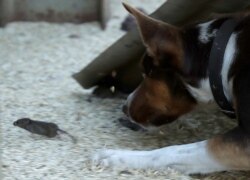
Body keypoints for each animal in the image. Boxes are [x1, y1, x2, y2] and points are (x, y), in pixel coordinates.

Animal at [93, 3, 250, 174]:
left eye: (145, 72)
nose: (124, 108)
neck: (223, 55)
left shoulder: (244, 141)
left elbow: (173, 151)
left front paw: (117, 156)